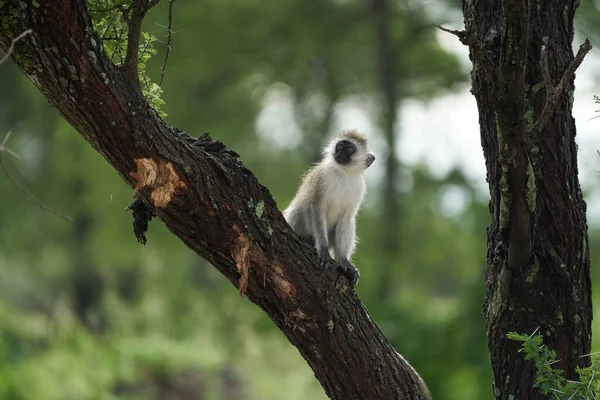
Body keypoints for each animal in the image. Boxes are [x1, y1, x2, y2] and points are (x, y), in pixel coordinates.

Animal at [282, 131, 376, 288]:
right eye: (340, 145)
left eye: (350, 148)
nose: (339, 153)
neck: (344, 173)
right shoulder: (321, 177)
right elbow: (316, 207)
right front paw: (323, 250)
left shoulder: (359, 187)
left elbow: (346, 218)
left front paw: (344, 260)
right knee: (302, 207)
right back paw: (307, 238)